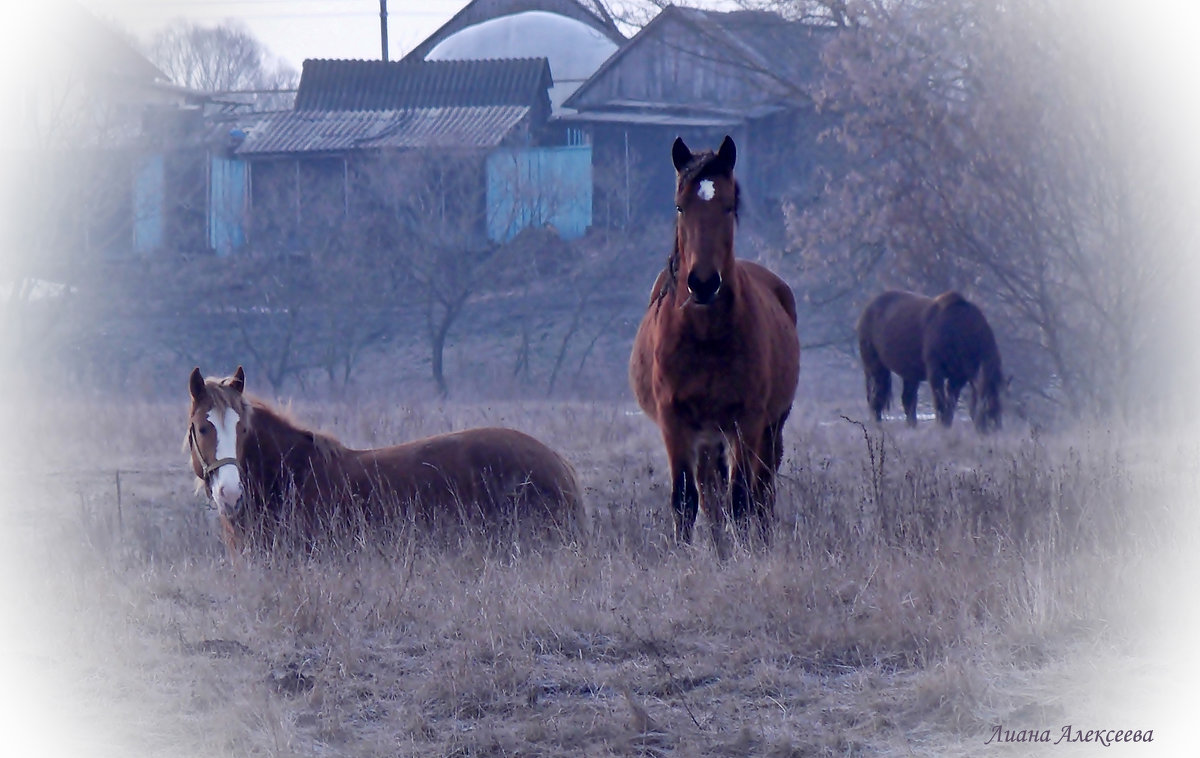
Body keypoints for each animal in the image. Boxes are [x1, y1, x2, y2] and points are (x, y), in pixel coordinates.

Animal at [628, 136, 796, 554]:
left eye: (729, 205)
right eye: (680, 205)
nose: (703, 283)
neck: (703, 337)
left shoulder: (746, 421)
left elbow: (741, 499)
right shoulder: (675, 422)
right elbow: (686, 502)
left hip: (770, 428)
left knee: (761, 491)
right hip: (706, 437)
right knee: (710, 495)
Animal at [859, 290, 1008, 431]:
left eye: (1000, 404)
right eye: (985, 404)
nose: (993, 429)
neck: (957, 328)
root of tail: (869, 307)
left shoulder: (958, 378)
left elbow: (950, 405)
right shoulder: (936, 372)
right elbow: (940, 404)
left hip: (909, 375)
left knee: (907, 401)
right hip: (874, 368)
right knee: (875, 399)